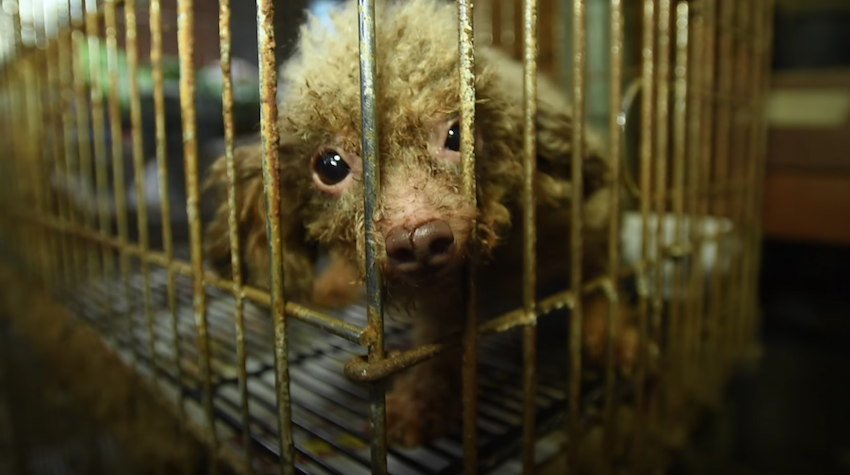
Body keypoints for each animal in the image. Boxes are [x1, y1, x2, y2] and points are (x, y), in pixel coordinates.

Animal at [202, 0, 636, 450]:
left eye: (458, 135)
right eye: (330, 166)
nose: (418, 240)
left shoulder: (583, 225)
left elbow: (598, 277)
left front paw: (613, 339)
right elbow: (438, 341)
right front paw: (421, 401)